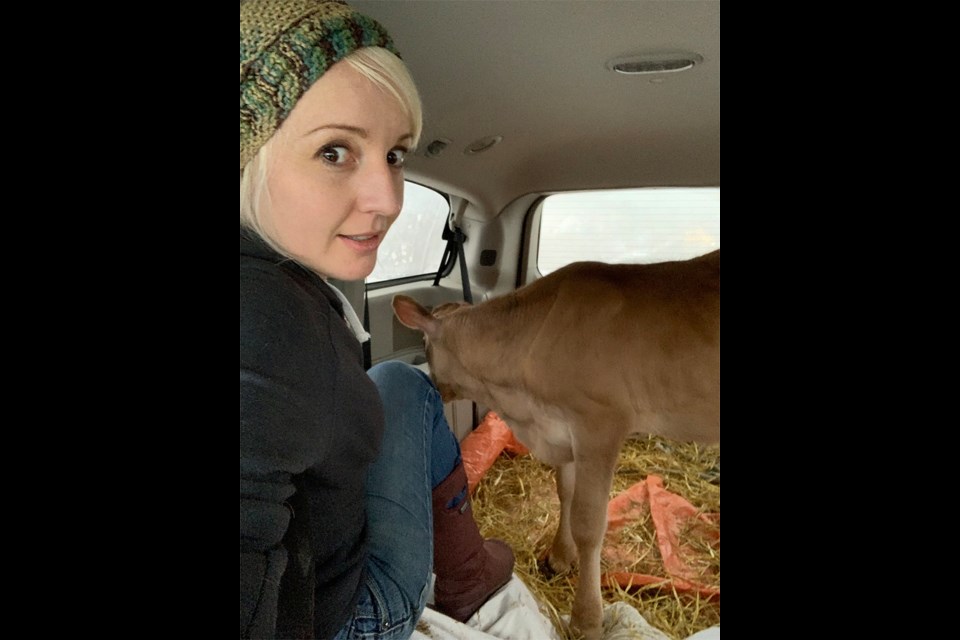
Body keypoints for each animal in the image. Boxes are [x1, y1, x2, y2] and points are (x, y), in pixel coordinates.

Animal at [392, 251, 720, 640]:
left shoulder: (599, 425)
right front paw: (560, 557)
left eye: (425, 347)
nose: (432, 388)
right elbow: (566, 491)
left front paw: (586, 619)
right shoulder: (562, 427)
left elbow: (589, 524)